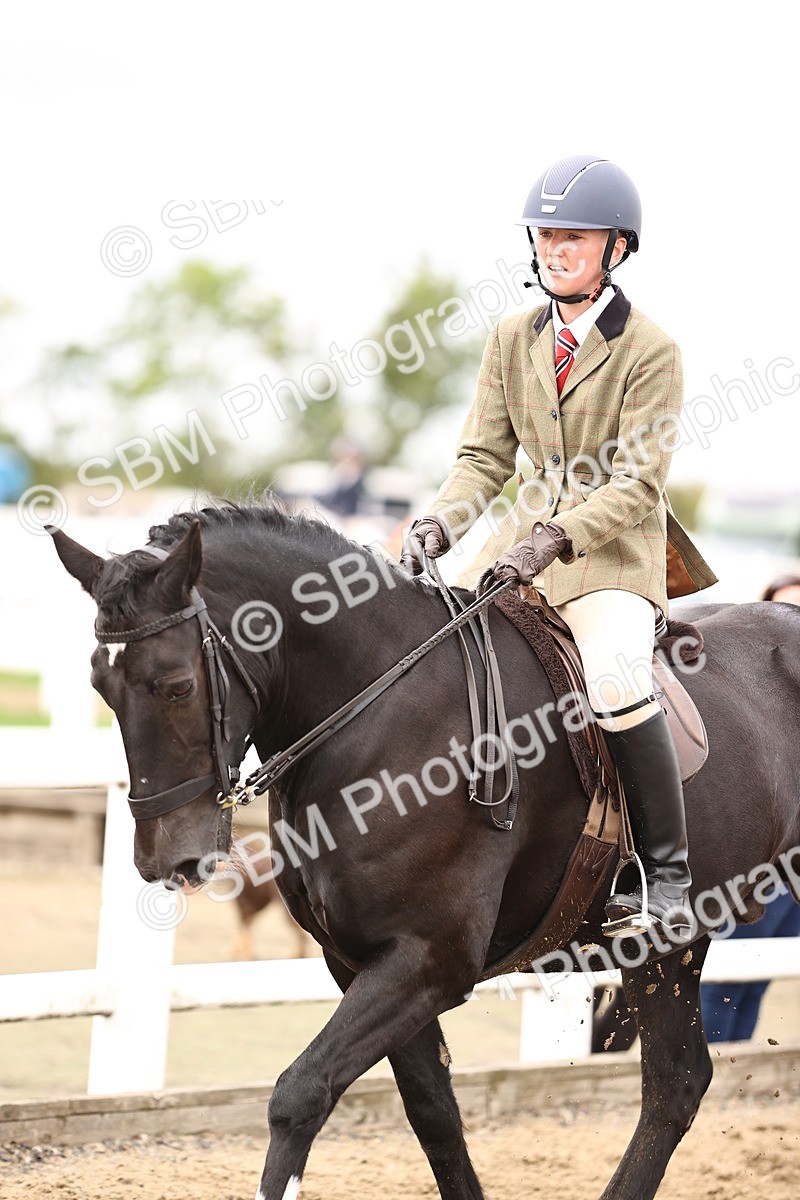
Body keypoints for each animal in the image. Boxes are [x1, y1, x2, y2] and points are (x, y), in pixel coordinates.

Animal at [49, 501, 800, 1200]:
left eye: (176, 685)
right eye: (99, 686)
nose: (165, 862)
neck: (379, 709)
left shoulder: (429, 960)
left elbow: (300, 1092)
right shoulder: (359, 960)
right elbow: (432, 1111)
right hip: (670, 945)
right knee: (677, 1082)